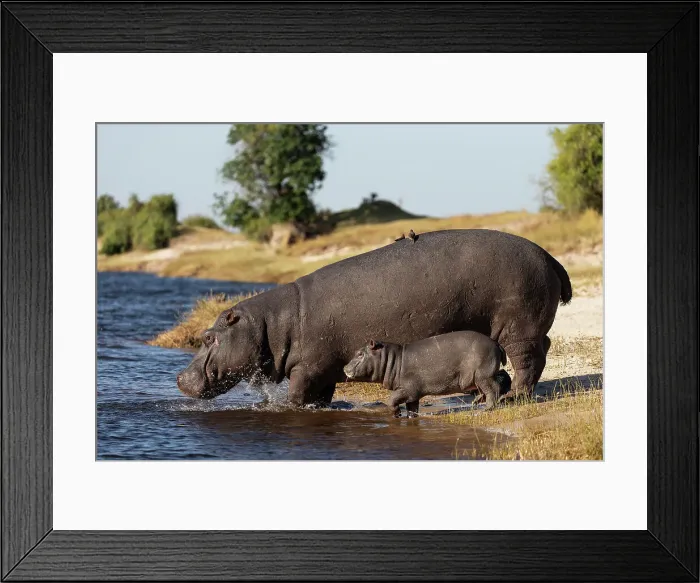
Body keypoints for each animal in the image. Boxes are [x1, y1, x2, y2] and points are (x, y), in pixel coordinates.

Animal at [176, 229, 571, 407]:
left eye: (208, 337)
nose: (179, 378)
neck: (270, 324)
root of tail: (550, 257)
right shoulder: (325, 367)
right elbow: (322, 394)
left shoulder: (307, 367)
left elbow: (297, 393)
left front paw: (288, 407)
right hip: (528, 327)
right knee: (541, 350)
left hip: (518, 327)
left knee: (527, 361)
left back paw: (514, 397)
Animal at [343, 332, 509, 416]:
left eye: (360, 353)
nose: (344, 367)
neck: (393, 359)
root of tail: (496, 343)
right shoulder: (412, 395)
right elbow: (412, 408)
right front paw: (411, 418)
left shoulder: (406, 389)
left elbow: (391, 400)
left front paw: (397, 413)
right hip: (479, 376)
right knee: (496, 382)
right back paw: (476, 403)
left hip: (483, 375)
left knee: (494, 388)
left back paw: (487, 409)